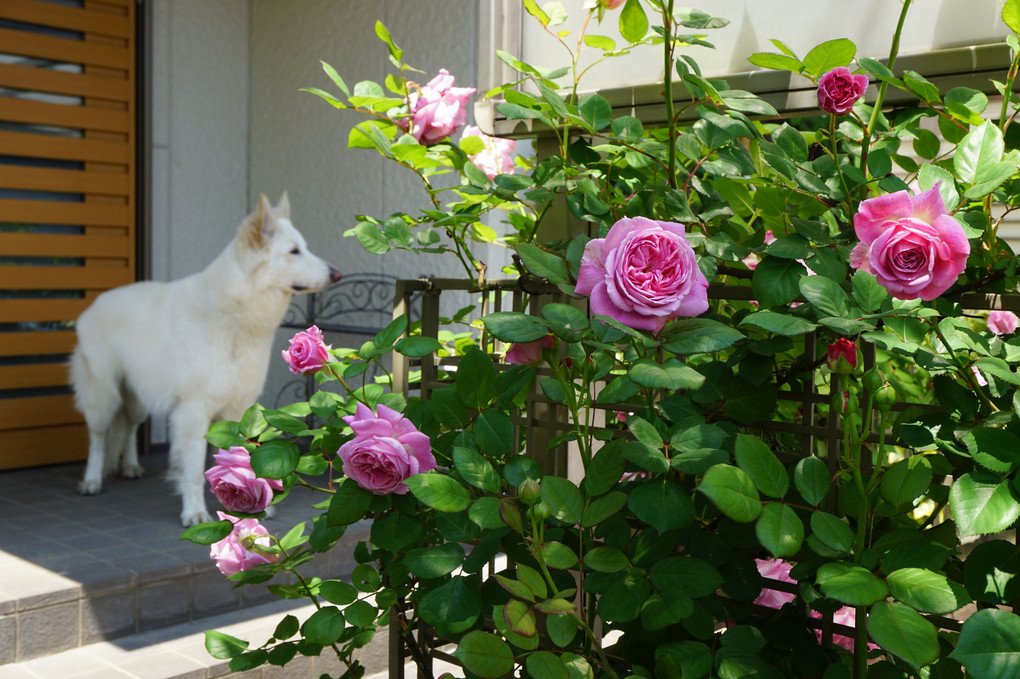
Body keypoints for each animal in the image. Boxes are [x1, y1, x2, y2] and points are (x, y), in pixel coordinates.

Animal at [71, 190, 344, 521]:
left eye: (304, 247)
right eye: (294, 251)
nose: (337, 274)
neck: (233, 314)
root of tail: (94, 303)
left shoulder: (239, 409)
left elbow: (244, 458)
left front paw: (257, 506)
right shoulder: (193, 412)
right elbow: (191, 470)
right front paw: (194, 513)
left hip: (136, 398)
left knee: (131, 426)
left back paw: (131, 466)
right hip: (103, 397)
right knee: (98, 438)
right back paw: (91, 480)